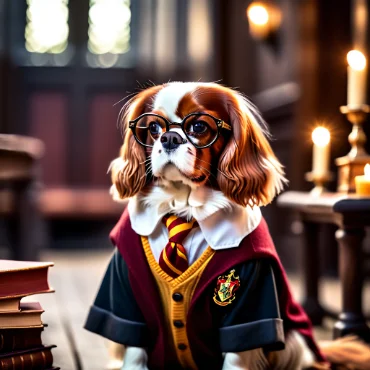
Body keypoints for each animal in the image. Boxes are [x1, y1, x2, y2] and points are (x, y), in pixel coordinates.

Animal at [86, 81, 370, 370]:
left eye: (199, 127)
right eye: (154, 127)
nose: (169, 138)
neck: (184, 209)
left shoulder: (251, 294)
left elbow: (238, 349)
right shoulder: (126, 285)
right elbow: (134, 347)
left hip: (293, 342)